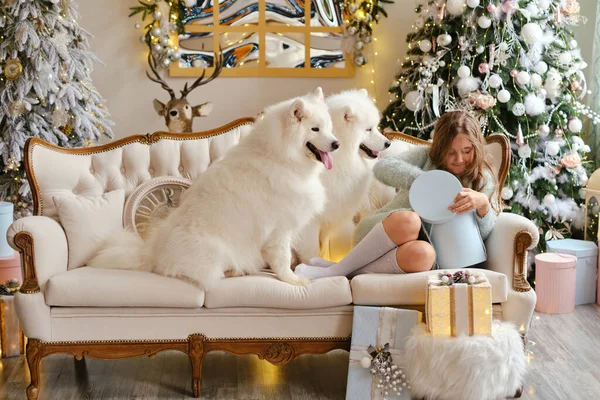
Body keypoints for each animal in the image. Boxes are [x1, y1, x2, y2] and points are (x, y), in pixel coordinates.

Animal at [91, 86, 340, 290]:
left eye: (329, 128)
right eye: (315, 129)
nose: (337, 143)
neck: (279, 156)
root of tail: (152, 256)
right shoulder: (279, 228)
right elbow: (283, 258)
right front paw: (293, 280)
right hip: (214, 248)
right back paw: (234, 270)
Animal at [292, 88, 392, 262]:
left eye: (376, 126)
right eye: (368, 129)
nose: (388, 143)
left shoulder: (332, 213)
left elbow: (324, 245)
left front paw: (325, 259)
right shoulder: (310, 222)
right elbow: (311, 248)